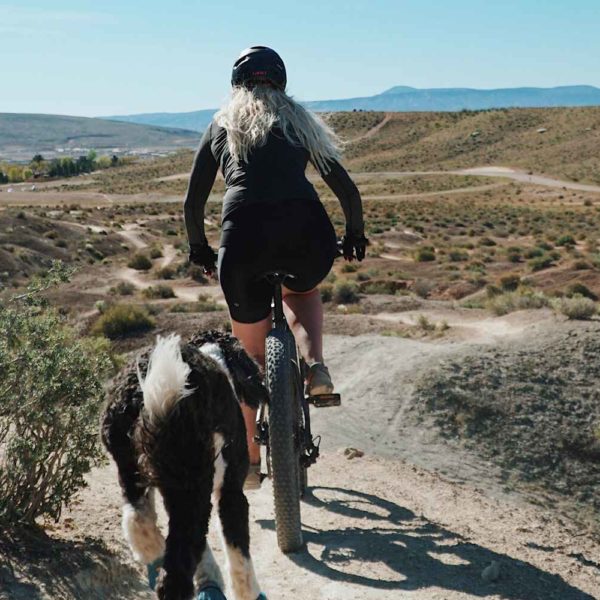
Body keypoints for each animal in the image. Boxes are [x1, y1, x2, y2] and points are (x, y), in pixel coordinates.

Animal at [101, 330, 270, 596]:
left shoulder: (173, 492)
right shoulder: (231, 492)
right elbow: (238, 554)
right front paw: (250, 593)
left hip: (133, 470)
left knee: (137, 521)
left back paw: (155, 551)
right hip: (192, 482)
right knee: (175, 574)